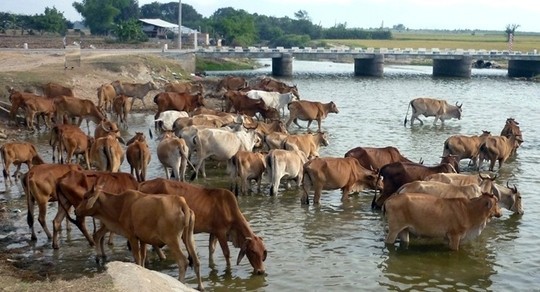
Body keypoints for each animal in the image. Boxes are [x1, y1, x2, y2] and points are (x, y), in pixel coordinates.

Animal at [75, 185, 204, 290]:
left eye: (85, 197)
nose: (76, 210)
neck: (118, 205)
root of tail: (181, 202)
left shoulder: (132, 237)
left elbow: (137, 259)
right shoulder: (143, 239)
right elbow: (142, 259)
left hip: (172, 240)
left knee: (183, 261)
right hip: (188, 237)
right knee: (196, 261)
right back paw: (200, 287)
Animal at [138, 177, 266, 274]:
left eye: (263, 252)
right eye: (252, 251)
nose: (261, 271)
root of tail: (144, 183)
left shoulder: (213, 232)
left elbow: (211, 250)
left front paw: (212, 266)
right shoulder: (221, 232)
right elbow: (226, 253)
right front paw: (228, 270)